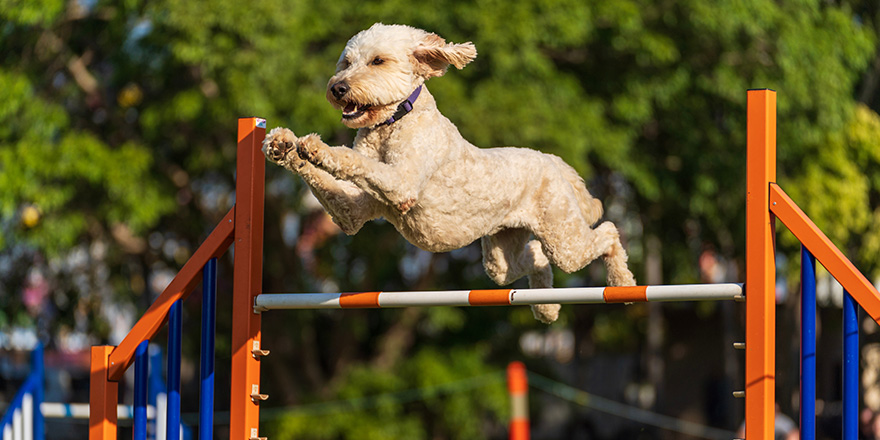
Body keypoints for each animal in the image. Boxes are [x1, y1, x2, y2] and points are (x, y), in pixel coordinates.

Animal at [264, 23, 636, 324]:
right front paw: (283, 144)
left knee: (608, 232)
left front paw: (317, 147)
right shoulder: (352, 212)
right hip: (501, 255)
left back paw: (623, 283)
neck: (394, 122)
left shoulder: (401, 183)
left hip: (564, 237)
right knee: (534, 258)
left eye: (377, 61)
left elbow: (354, 160)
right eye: (346, 62)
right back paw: (547, 308)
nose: (337, 88)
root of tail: (550, 159)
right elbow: (335, 182)